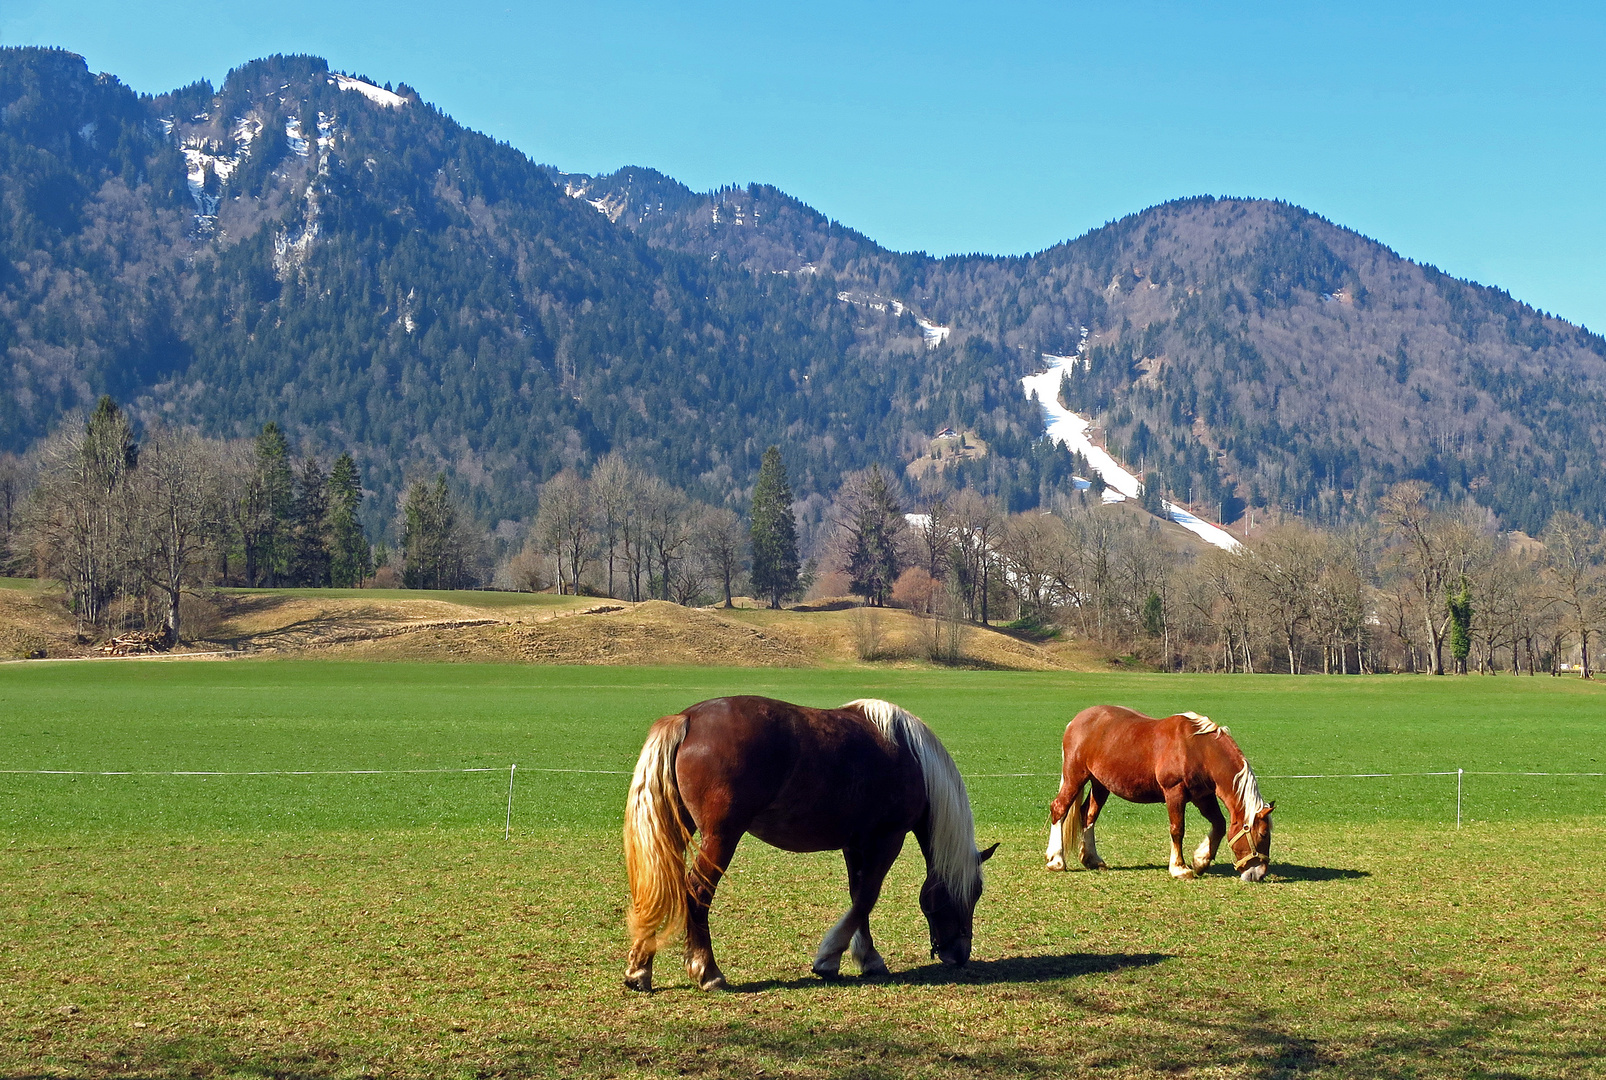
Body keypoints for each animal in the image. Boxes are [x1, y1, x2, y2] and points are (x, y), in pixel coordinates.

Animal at [623, 697, 989, 989]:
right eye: (973, 892)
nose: (960, 954)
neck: (912, 758)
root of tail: (687, 719)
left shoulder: (856, 844)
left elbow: (858, 896)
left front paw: (866, 957)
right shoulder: (887, 840)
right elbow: (866, 898)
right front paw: (829, 958)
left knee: (658, 887)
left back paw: (639, 969)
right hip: (721, 839)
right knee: (696, 893)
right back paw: (708, 971)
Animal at [1040, 707, 1278, 874]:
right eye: (1263, 834)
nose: (1259, 873)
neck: (1198, 749)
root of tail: (1076, 721)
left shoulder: (1203, 796)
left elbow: (1219, 824)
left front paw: (1200, 861)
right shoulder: (1174, 793)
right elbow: (1177, 829)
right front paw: (1179, 868)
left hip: (1100, 784)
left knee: (1088, 815)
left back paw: (1092, 859)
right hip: (1075, 776)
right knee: (1059, 808)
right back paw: (1056, 860)